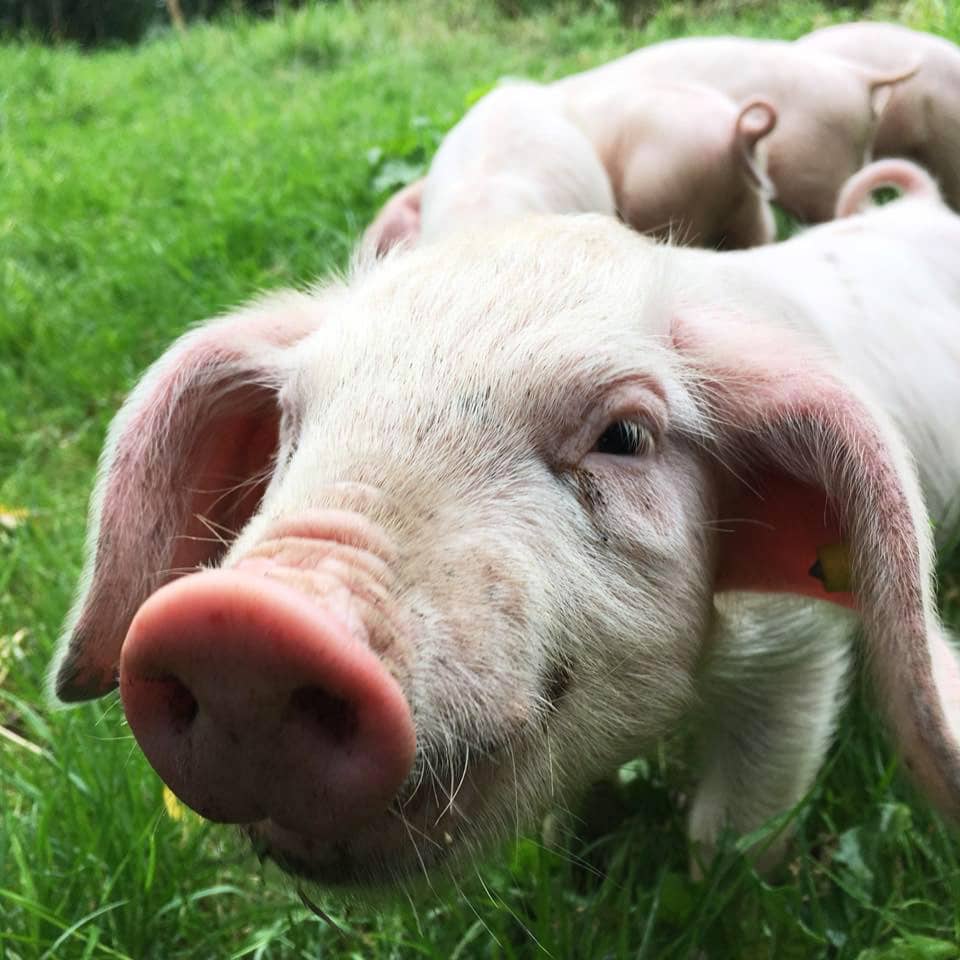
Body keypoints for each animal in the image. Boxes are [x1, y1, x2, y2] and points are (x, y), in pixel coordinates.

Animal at [52, 194, 960, 889]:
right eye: (292, 423)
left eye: (625, 436)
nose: (242, 623)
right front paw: (564, 859)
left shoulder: (795, 652)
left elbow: (732, 824)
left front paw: (729, 896)